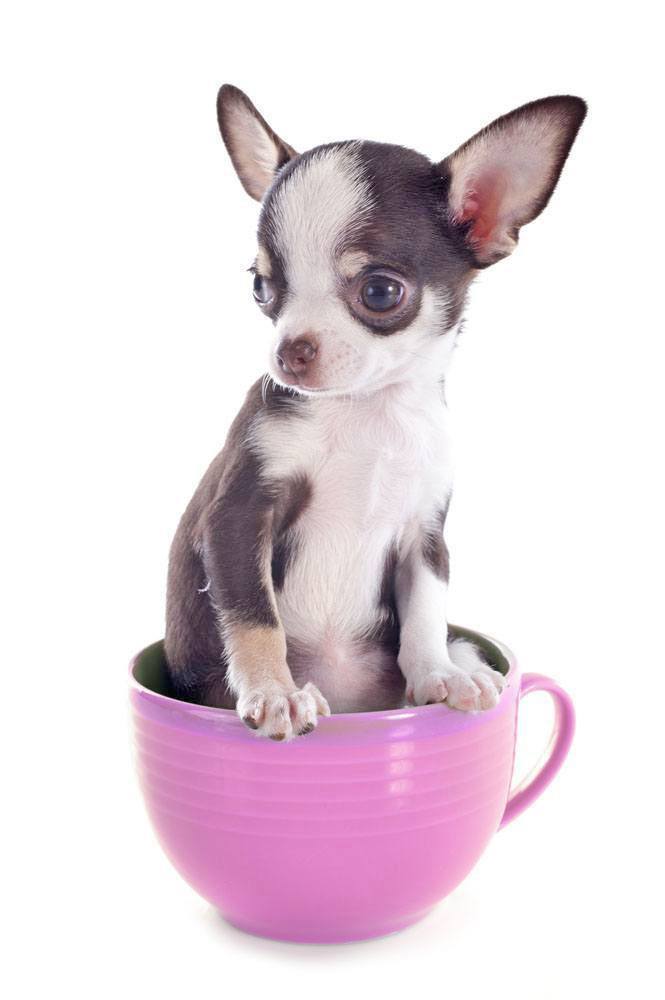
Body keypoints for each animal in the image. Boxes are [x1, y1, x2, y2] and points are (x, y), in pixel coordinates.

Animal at [166, 86, 588, 740]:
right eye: (261, 289)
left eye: (381, 292)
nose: (289, 350)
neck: (370, 410)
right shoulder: (238, 516)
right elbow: (256, 615)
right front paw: (275, 691)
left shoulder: (424, 536)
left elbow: (426, 615)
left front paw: (438, 675)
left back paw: (466, 669)